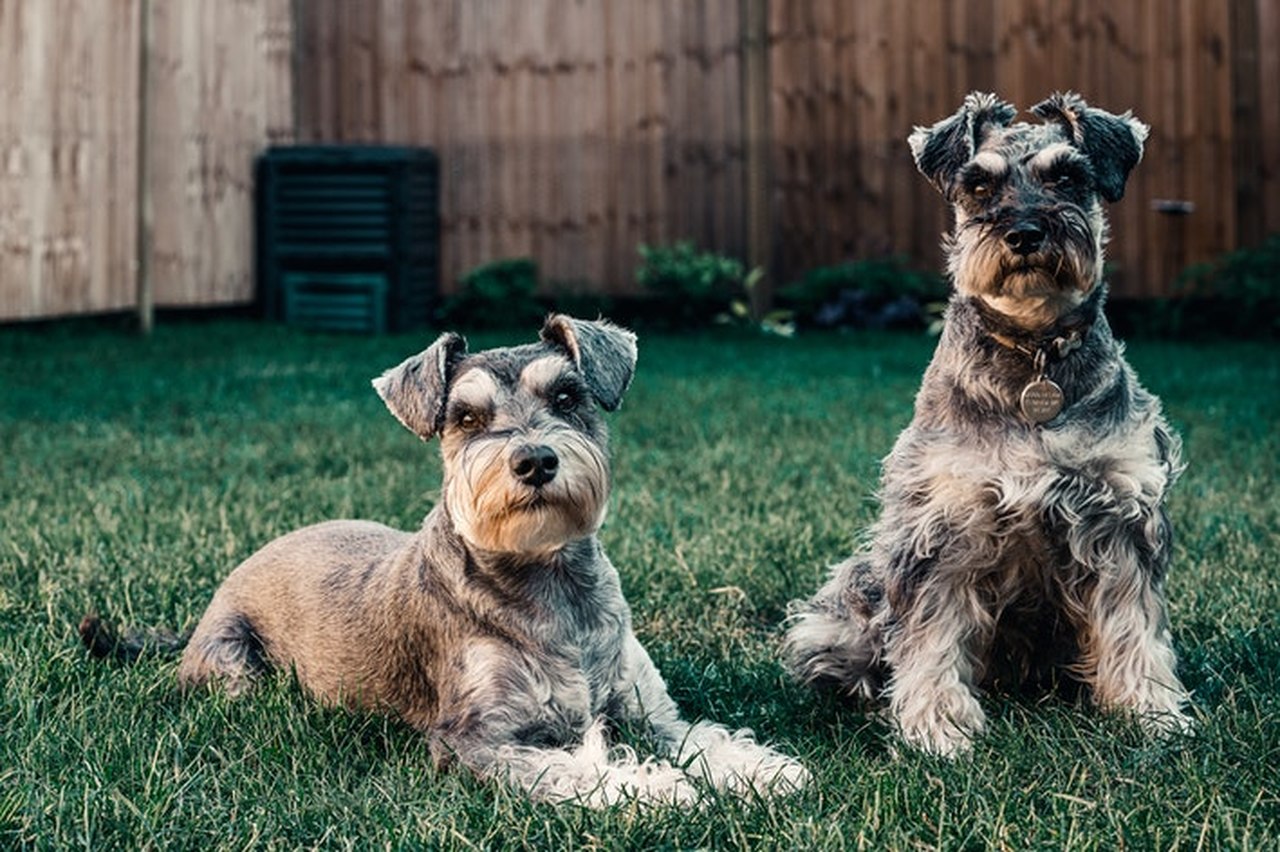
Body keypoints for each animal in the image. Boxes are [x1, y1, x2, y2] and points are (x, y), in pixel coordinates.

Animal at [80, 317, 803, 803]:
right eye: (466, 417)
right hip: (236, 670)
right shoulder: (472, 738)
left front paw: (763, 769)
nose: (534, 461)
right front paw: (652, 790)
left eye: (567, 397)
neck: (549, 581)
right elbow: (569, 767)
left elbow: (701, 737)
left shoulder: (649, 712)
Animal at [783, 94, 1192, 757]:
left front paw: (1151, 712)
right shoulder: (943, 525)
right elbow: (930, 635)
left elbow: (1134, 625)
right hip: (848, 602)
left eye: (1067, 178)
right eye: (979, 185)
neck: (1034, 352)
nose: (1024, 233)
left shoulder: (1119, 516)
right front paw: (937, 727)